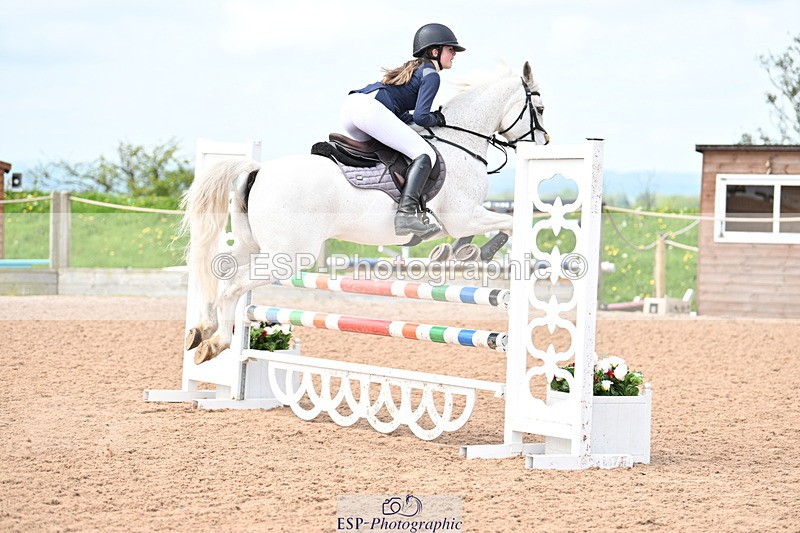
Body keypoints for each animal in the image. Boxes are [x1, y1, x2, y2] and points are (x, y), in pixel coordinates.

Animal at [183, 61, 549, 364]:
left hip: (253, 245)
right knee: (233, 285)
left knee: (219, 268)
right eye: (540, 108)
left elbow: (484, 231)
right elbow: (508, 223)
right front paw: (476, 253)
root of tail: (258, 169)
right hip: (287, 255)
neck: (461, 143)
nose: (544, 143)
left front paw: (457, 253)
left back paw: (201, 330)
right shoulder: (463, 215)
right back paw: (217, 343)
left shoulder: (462, 219)